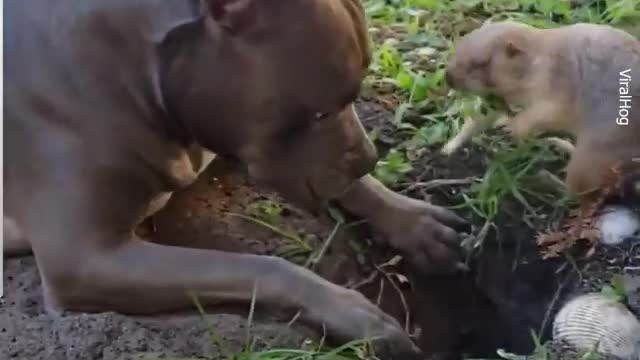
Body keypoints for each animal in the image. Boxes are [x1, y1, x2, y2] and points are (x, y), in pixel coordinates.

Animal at [2, 0, 468, 354]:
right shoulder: (86, 259)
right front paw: (353, 313)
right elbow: (262, 266)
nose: (368, 160)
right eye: (320, 112)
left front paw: (413, 220)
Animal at [444, 21, 640, 205]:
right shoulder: (499, 96)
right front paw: (448, 147)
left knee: (580, 193)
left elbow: (548, 112)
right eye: (459, 44)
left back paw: (547, 177)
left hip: (593, 154)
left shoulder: (558, 81)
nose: (447, 77)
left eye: (480, 63)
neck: (536, 59)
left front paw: (511, 126)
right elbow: (481, 118)